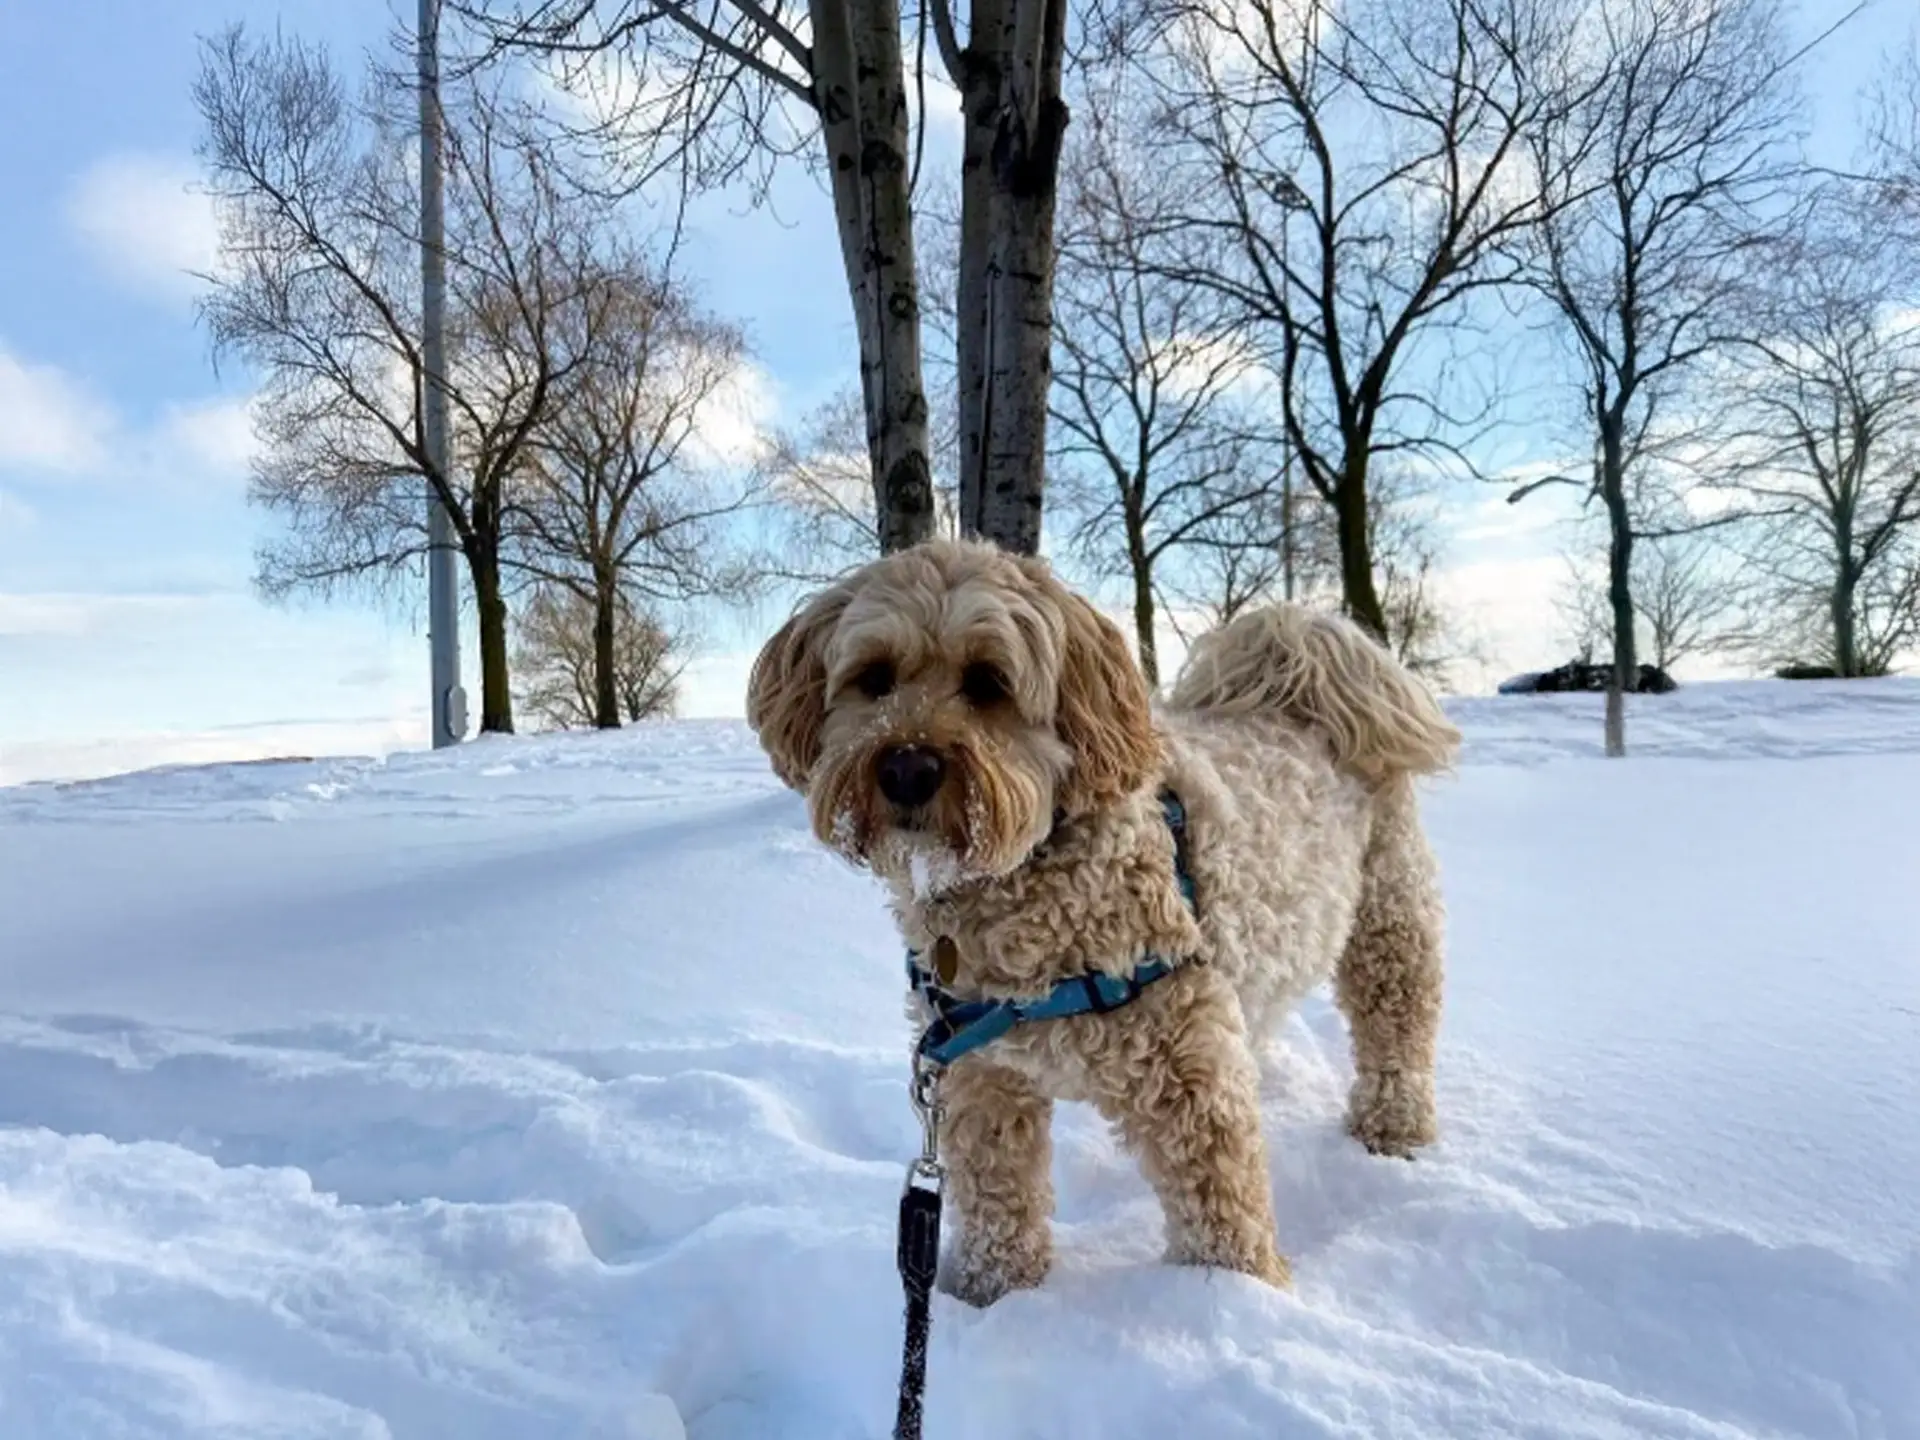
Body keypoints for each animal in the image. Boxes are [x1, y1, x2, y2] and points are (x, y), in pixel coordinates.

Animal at [744, 541, 1451, 1305]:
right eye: (873, 677)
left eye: (989, 681)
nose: (907, 768)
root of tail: (1308, 668)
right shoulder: (981, 1075)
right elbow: (998, 1197)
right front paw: (993, 1294)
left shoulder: (1185, 1069)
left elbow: (1220, 1201)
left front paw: (1237, 1296)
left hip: (1388, 919)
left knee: (1397, 1026)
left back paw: (1393, 1125)